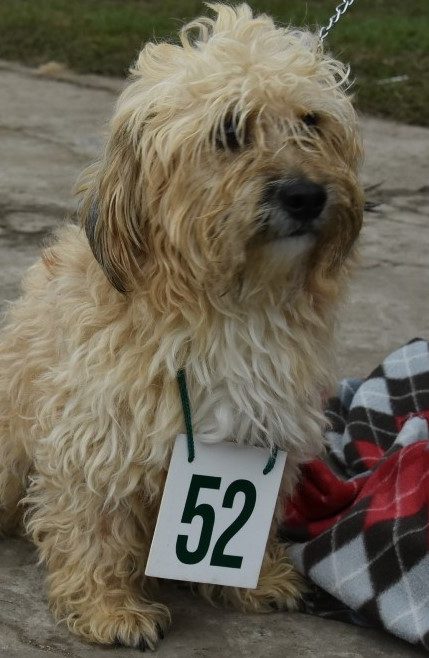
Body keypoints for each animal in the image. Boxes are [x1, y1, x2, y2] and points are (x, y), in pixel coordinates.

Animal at [0, 3, 362, 652]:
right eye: (229, 131)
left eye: (311, 121)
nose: (306, 195)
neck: (230, 305)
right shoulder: (98, 431)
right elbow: (95, 521)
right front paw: (108, 608)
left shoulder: (270, 425)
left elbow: (261, 516)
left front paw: (259, 578)